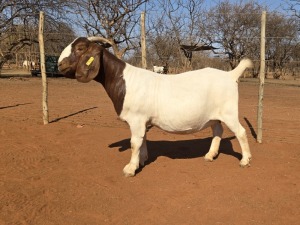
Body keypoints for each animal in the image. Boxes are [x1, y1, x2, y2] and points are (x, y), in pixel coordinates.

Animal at [58, 37, 253, 177]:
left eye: (80, 48)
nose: (59, 65)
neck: (124, 80)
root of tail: (230, 75)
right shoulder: (142, 120)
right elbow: (143, 139)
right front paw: (142, 160)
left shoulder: (136, 118)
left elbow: (135, 142)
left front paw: (130, 168)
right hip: (214, 116)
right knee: (218, 131)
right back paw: (210, 155)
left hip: (229, 112)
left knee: (241, 132)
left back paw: (245, 160)